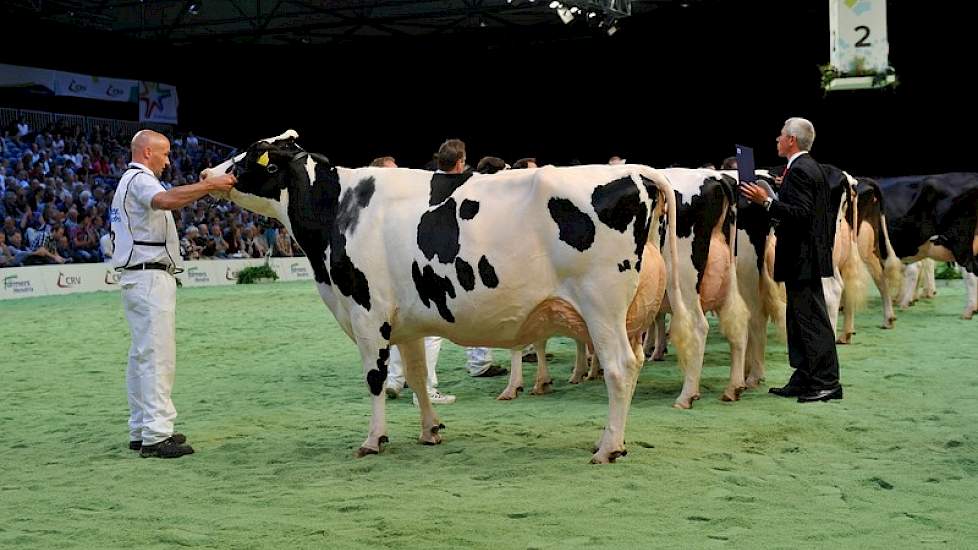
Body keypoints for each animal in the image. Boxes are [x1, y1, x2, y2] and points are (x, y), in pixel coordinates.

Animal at [204, 132, 692, 464]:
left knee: (620, 367)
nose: (206, 173)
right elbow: (418, 377)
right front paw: (430, 430)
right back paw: (610, 439)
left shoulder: (367, 314)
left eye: (252, 154)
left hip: (602, 306)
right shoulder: (405, 323)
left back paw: (608, 447)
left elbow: (375, 380)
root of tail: (633, 171)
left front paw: (373, 439)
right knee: (631, 364)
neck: (337, 209)